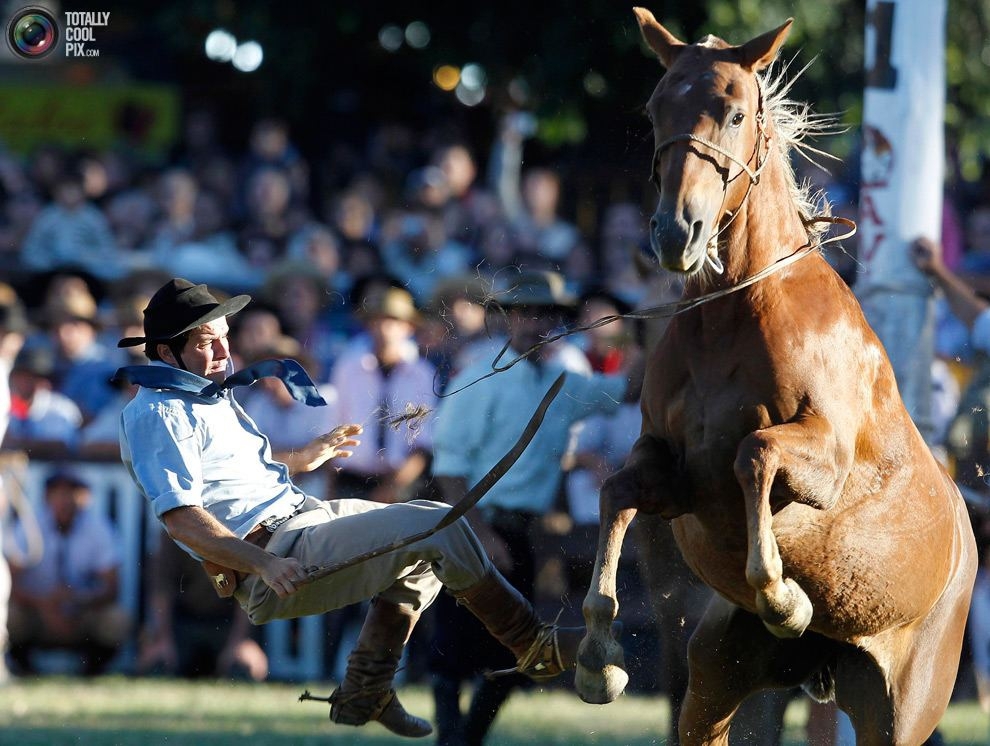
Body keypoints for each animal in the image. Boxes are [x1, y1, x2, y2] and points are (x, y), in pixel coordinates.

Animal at [576, 8, 980, 740]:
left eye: (735, 111)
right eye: (655, 107)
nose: (676, 231)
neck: (735, 314)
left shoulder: (825, 458)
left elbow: (755, 453)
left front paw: (783, 594)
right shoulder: (672, 470)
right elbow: (617, 490)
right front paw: (598, 655)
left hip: (902, 708)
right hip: (716, 677)